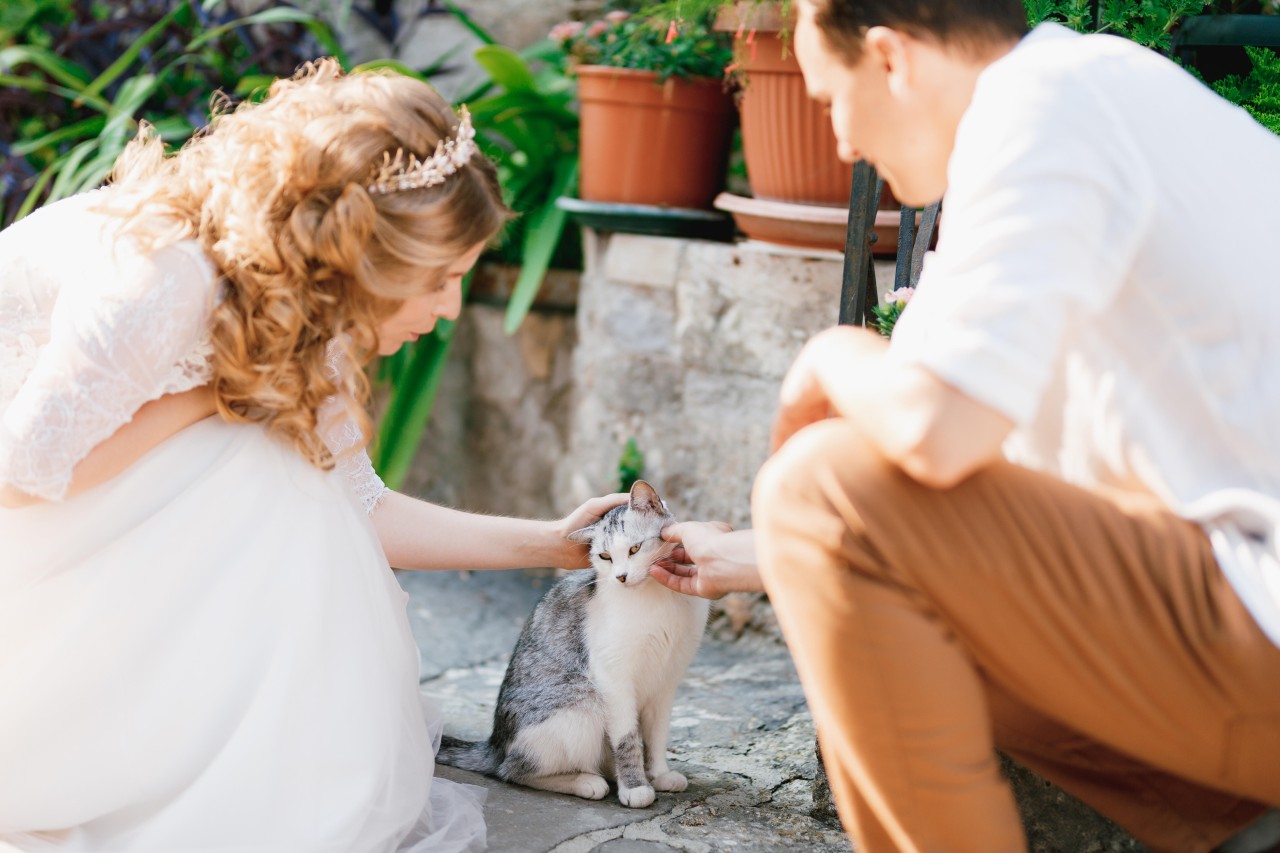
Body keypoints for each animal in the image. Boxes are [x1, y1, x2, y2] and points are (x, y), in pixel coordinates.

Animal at [435, 479, 706, 804]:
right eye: (605, 557)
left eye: (635, 548)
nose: (621, 577)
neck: (658, 598)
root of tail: (494, 743)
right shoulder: (613, 678)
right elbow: (627, 739)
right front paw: (635, 786)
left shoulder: (666, 683)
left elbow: (656, 736)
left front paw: (660, 774)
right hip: (582, 701)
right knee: (513, 769)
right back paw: (586, 781)